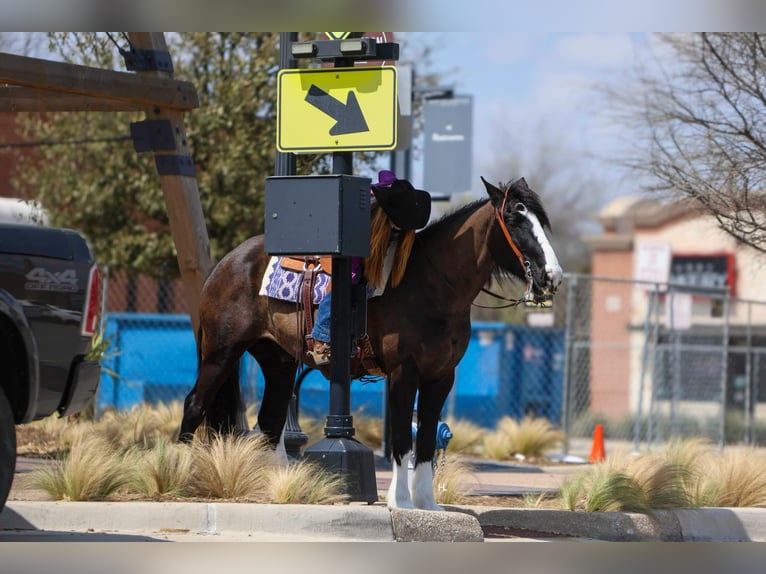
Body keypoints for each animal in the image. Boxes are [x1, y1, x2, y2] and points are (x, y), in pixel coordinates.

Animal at [179, 175, 563, 511]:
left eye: (540, 221)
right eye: (514, 218)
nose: (553, 276)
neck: (432, 288)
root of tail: (226, 263)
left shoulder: (442, 376)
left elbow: (426, 440)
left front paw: (427, 504)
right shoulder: (403, 373)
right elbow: (402, 438)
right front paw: (401, 501)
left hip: (278, 362)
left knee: (270, 423)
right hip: (221, 353)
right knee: (195, 405)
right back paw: (180, 475)